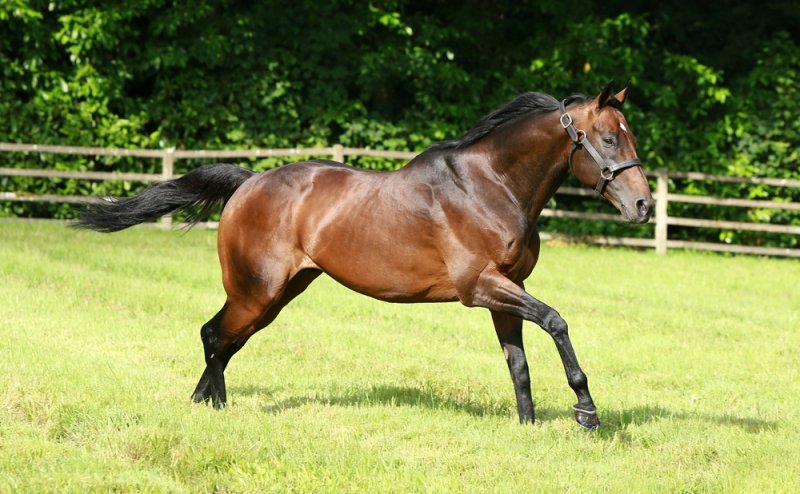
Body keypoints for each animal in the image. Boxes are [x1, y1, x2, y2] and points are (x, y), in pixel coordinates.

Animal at [74, 82, 653, 430]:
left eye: (629, 134)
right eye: (607, 137)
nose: (643, 205)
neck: (489, 185)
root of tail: (249, 182)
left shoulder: (505, 291)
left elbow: (518, 364)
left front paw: (528, 427)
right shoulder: (481, 287)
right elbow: (556, 322)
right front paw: (586, 411)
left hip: (278, 294)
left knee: (224, 341)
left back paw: (201, 406)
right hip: (255, 290)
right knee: (215, 336)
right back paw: (218, 408)